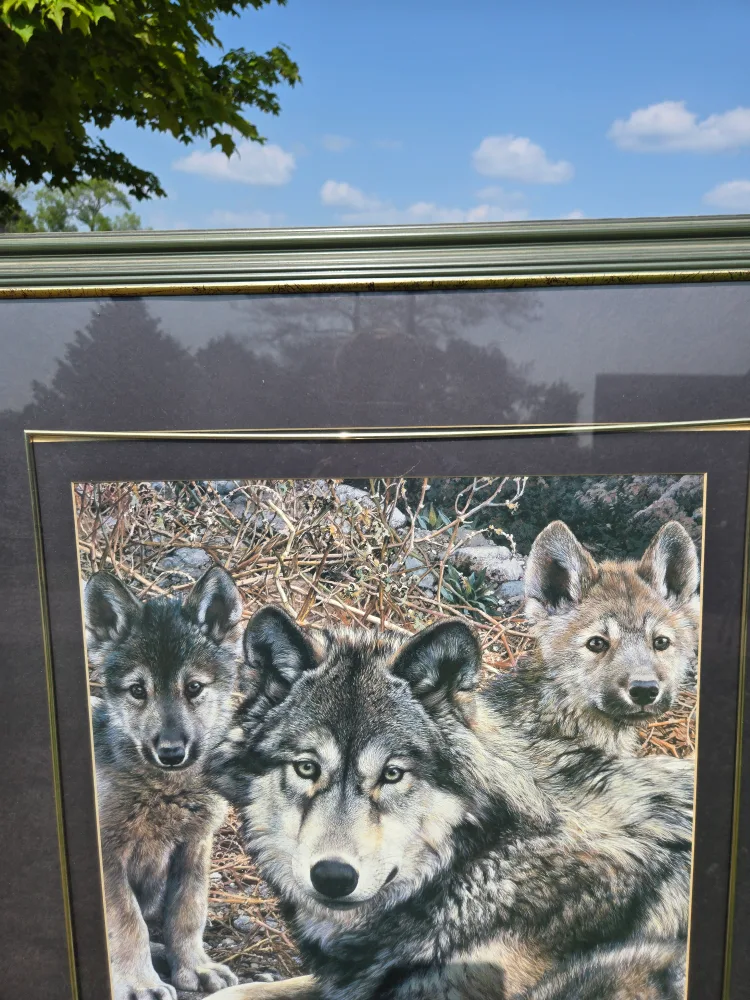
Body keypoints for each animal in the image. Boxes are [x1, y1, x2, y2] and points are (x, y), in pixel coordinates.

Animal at [85, 566, 244, 1000]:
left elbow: (188, 914)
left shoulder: (194, 846)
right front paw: (140, 983)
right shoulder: (108, 858)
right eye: (138, 691)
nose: (171, 752)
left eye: (194, 688)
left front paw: (194, 968)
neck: (165, 791)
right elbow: (127, 924)